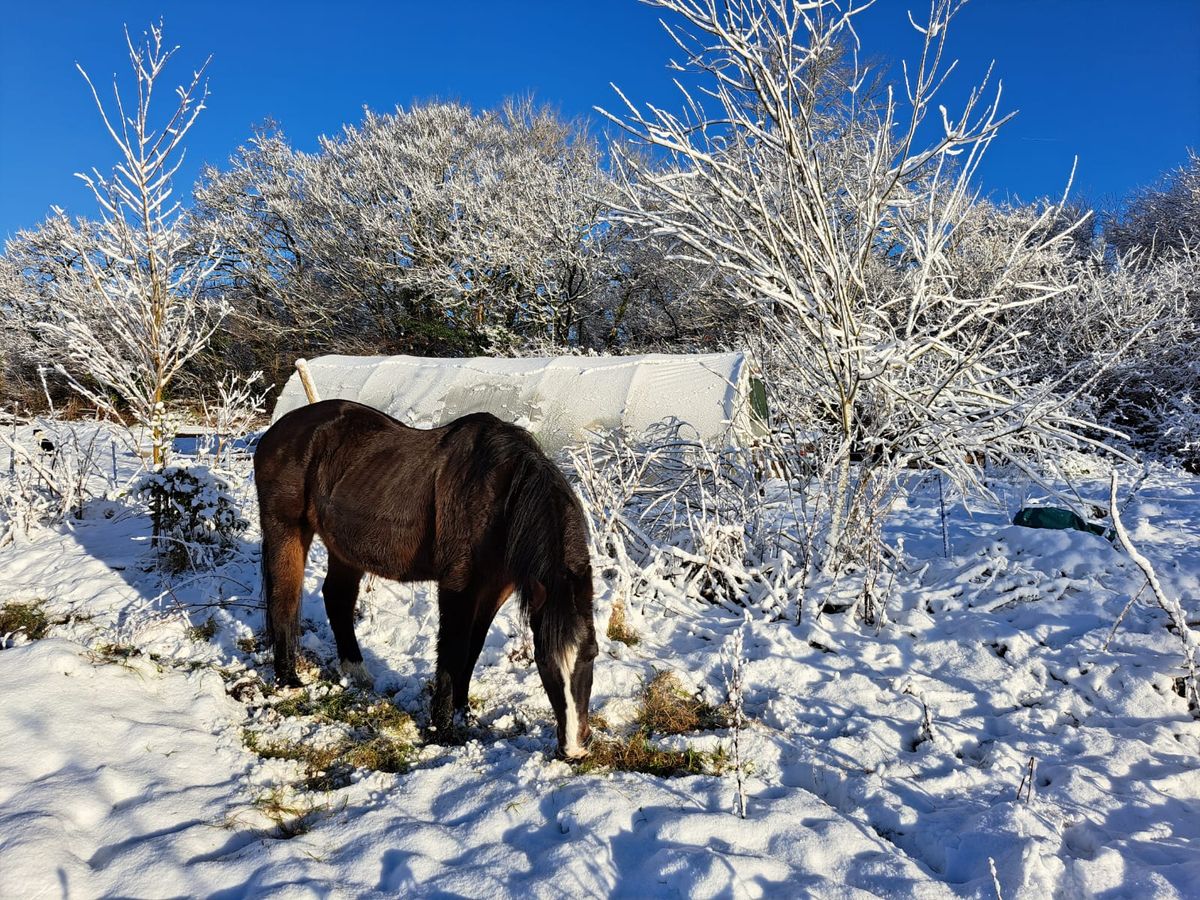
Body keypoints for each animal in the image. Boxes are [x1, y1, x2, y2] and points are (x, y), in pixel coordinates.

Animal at [250, 400, 597, 763]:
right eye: (543, 661)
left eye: (592, 653)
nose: (574, 747)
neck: (500, 495)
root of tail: (277, 431)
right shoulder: (458, 586)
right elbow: (452, 651)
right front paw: (442, 729)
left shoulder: (495, 588)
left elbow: (472, 648)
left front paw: (462, 712)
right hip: (286, 531)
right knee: (285, 599)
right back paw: (289, 680)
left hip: (344, 550)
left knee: (337, 598)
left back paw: (357, 673)